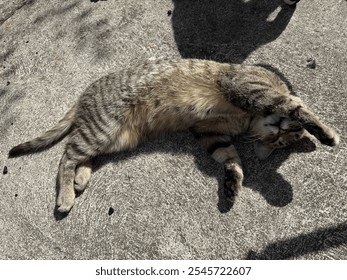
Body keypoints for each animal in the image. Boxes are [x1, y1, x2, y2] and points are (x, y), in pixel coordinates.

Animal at [8, 58, 340, 212]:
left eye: (279, 143)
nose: (279, 130)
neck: (248, 120)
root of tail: (84, 94)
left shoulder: (209, 133)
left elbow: (231, 159)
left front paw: (233, 184)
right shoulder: (249, 91)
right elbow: (297, 106)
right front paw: (326, 133)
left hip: (116, 138)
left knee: (81, 155)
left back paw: (81, 178)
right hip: (103, 129)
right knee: (66, 156)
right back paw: (65, 194)